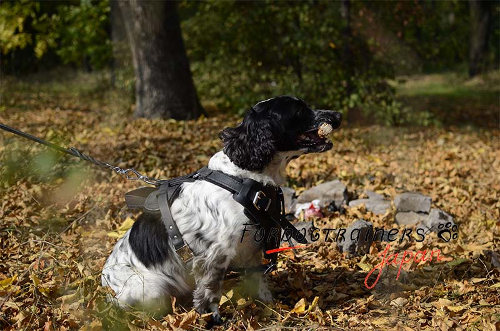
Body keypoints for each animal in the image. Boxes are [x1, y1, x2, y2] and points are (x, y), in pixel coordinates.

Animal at [101, 95, 344, 322]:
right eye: (299, 109)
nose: (338, 115)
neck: (242, 179)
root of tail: (106, 284)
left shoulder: (252, 250)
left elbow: (259, 282)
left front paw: (269, 306)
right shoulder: (214, 256)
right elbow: (210, 292)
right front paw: (212, 318)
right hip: (152, 289)